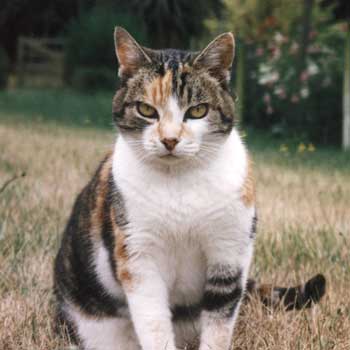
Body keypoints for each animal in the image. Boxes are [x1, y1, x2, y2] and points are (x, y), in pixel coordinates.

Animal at [54, 27, 326, 350]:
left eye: (197, 110)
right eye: (145, 109)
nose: (170, 139)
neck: (180, 183)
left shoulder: (228, 255)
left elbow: (219, 324)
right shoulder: (138, 257)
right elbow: (154, 323)